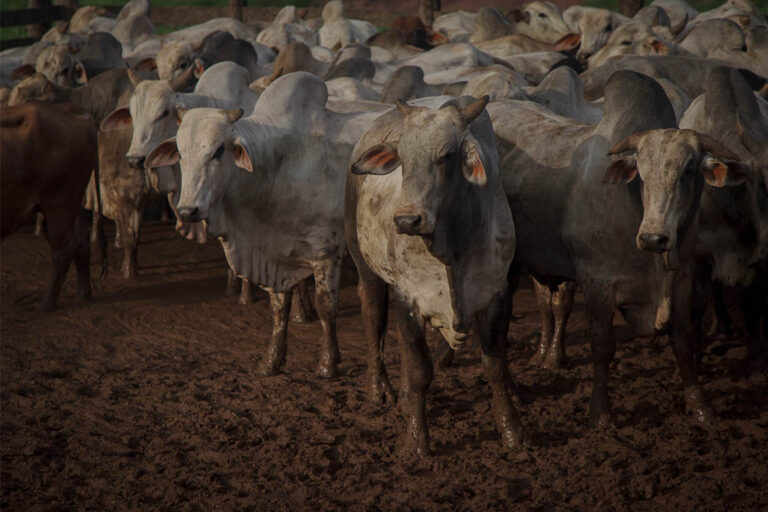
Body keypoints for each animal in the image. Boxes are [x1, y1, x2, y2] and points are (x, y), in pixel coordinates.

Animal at [0, 101, 100, 310]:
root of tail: (73, 112)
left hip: (59, 206)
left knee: (63, 250)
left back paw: (47, 303)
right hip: (70, 206)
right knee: (81, 238)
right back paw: (83, 294)